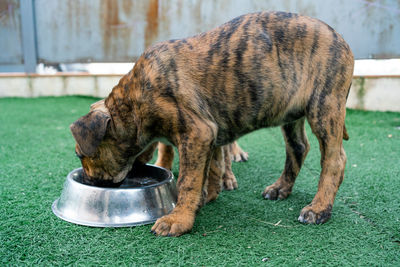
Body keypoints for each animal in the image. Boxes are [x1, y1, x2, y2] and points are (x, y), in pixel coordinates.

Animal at [71, 12, 354, 239]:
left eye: (79, 155)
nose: (89, 180)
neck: (135, 100)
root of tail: (341, 38)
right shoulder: (209, 134)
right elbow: (210, 169)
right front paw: (204, 199)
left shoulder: (197, 132)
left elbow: (188, 179)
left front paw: (178, 219)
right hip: (292, 114)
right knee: (298, 148)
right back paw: (280, 188)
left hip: (324, 106)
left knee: (335, 159)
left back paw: (319, 208)